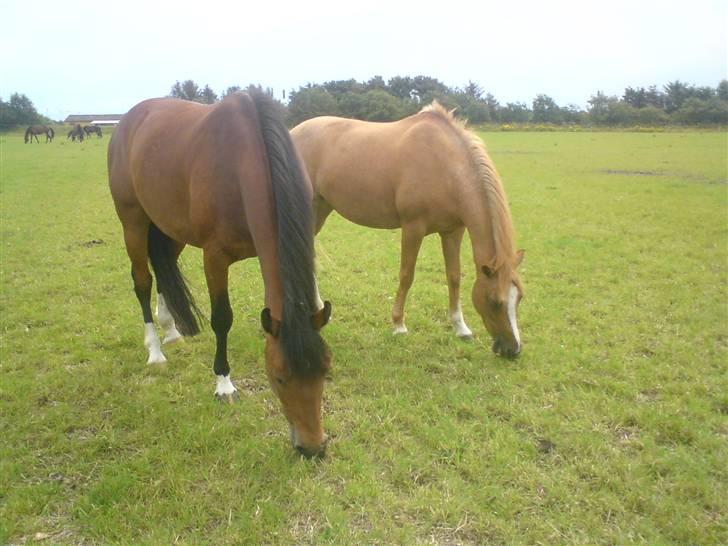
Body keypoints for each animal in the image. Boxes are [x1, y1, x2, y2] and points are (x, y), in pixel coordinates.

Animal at [108, 90, 333, 458]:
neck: (241, 163)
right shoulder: (214, 257)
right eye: (279, 377)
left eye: (325, 370)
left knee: (163, 270)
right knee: (142, 281)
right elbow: (222, 319)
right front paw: (224, 384)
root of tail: (128, 120)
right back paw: (155, 351)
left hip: (171, 228)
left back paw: (172, 330)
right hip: (134, 222)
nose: (312, 448)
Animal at [291, 102, 524, 358]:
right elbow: (406, 275)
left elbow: (454, 277)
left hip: (322, 207)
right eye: (494, 301)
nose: (513, 350)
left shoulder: (453, 231)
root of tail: (293, 132)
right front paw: (398, 324)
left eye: (519, 298)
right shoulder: (413, 228)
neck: (444, 166)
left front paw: (460, 328)